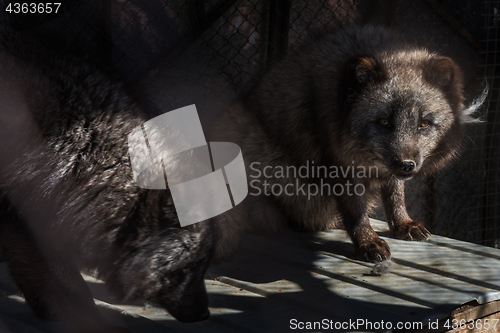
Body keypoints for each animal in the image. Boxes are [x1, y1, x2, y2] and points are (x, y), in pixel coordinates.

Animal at [209, 24, 482, 262]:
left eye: (423, 123)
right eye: (384, 121)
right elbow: (355, 209)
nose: (407, 165)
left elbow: (395, 193)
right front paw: (367, 241)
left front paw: (402, 224)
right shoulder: (338, 162)